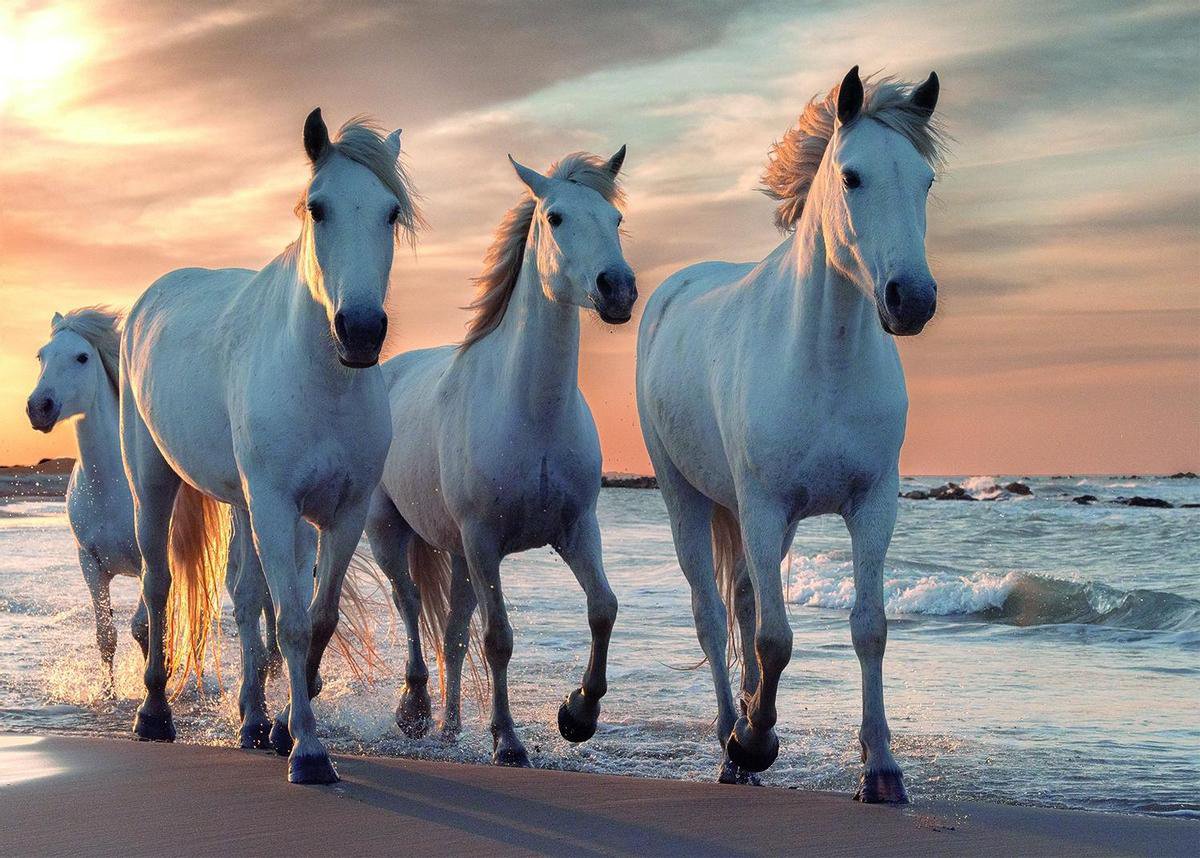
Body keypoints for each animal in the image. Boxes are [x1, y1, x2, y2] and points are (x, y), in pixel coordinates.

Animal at [120, 110, 421, 784]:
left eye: (390, 212)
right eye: (318, 207)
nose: (361, 331)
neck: (323, 382)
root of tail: (150, 298)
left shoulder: (342, 512)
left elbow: (317, 618)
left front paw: (285, 728)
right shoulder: (278, 507)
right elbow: (290, 620)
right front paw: (308, 752)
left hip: (242, 503)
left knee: (243, 595)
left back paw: (254, 721)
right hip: (153, 482)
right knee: (158, 584)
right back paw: (154, 713)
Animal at [364, 148, 635, 766]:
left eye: (615, 220)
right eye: (555, 217)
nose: (617, 289)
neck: (531, 412)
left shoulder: (576, 529)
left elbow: (602, 608)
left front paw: (577, 715)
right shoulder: (485, 539)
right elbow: (499, 639)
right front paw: (508, 741)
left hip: (459, 555)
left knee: (452, 632)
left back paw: (449, 728)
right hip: (390, 532)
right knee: (410, 604)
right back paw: (415, 712)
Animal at [636, 66, 945, 801]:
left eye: (925, 181)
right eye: (852, 177)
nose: (912, 299)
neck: (824, 361)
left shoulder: (872, 506)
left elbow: (869, 628)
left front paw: (881, 768)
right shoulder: (763, 505)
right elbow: (776, 639)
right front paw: (753, 741)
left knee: (745, 603)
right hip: (687, 498)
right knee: (713, 617)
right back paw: (732, 742)